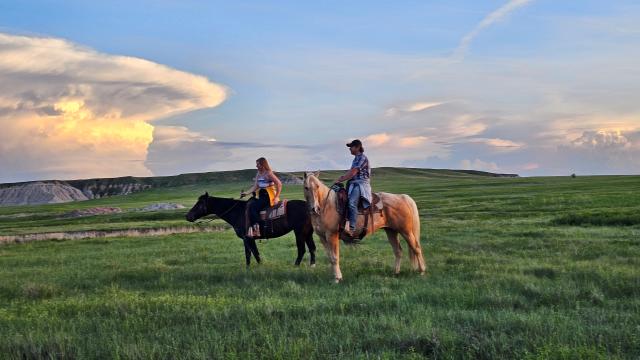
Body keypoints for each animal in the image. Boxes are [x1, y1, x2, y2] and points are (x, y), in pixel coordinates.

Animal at [184, 194, 316, 268]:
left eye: (199, 203)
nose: (188, 216)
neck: (238, 212)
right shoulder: (246, 239)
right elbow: (250, 253)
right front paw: (250, 268)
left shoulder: (248, 238)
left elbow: (253, 253)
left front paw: (257, 267)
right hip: (308, 233)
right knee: (312, 248)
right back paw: (312, 265)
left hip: (299, 232)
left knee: (302, 249)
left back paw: (296, 266)